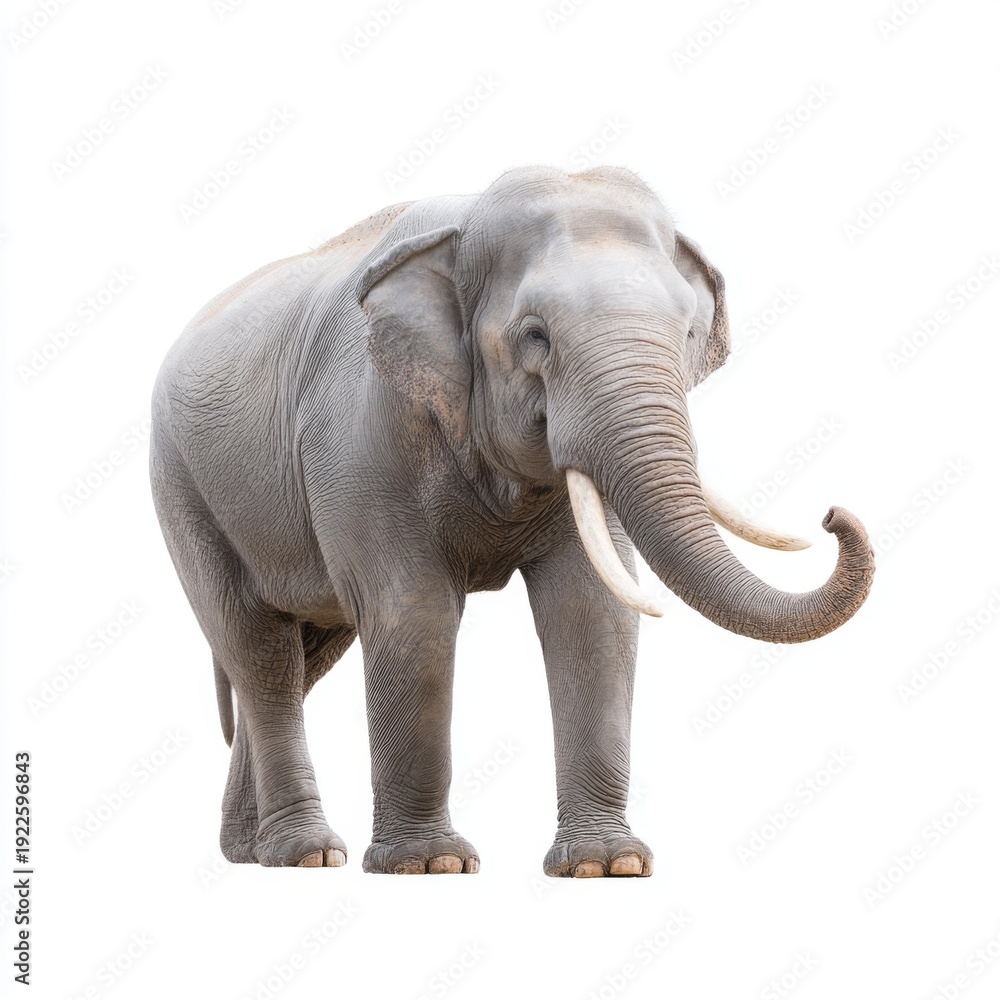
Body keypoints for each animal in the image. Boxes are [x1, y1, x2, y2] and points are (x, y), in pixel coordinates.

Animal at [149, 165, 874, 877]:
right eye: (535, 336)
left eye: (689, 334)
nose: (834, 515)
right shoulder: (361, 431)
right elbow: (413, 613)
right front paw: (431, 865)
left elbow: (592, 613)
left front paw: (608, 865)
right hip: (181, 487)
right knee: (260, 652)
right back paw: (306, 854)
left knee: (304, 655)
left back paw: (252, 852)